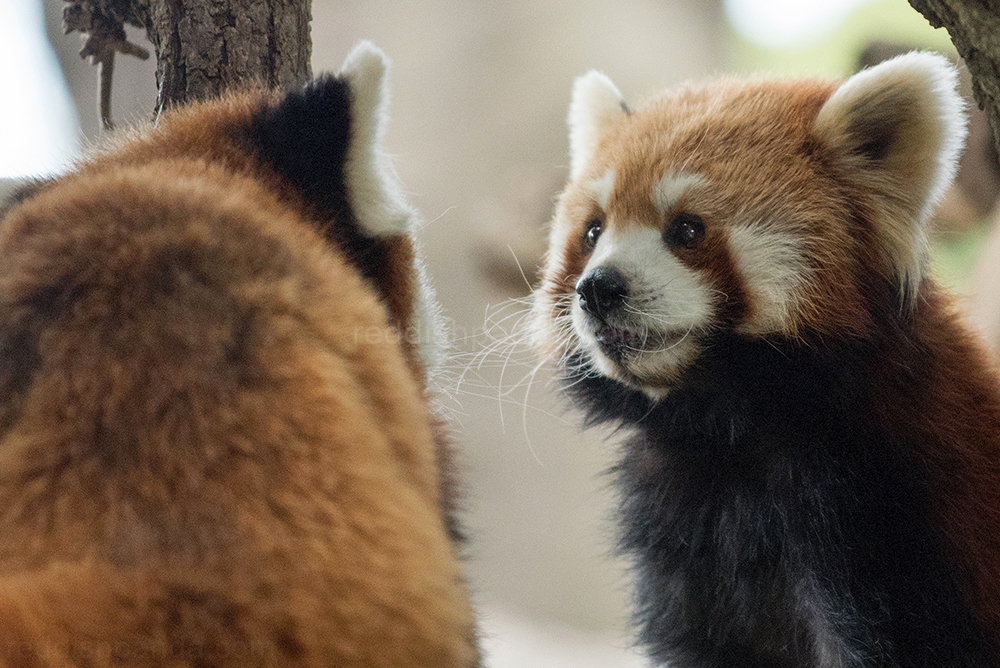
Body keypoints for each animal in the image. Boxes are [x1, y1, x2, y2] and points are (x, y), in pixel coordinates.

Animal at [536, 53, 1000, 668]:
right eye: (592, 232)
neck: (731, 429)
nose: (598, 289)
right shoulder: (680, 526)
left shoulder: (886, 510)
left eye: (687, 229)